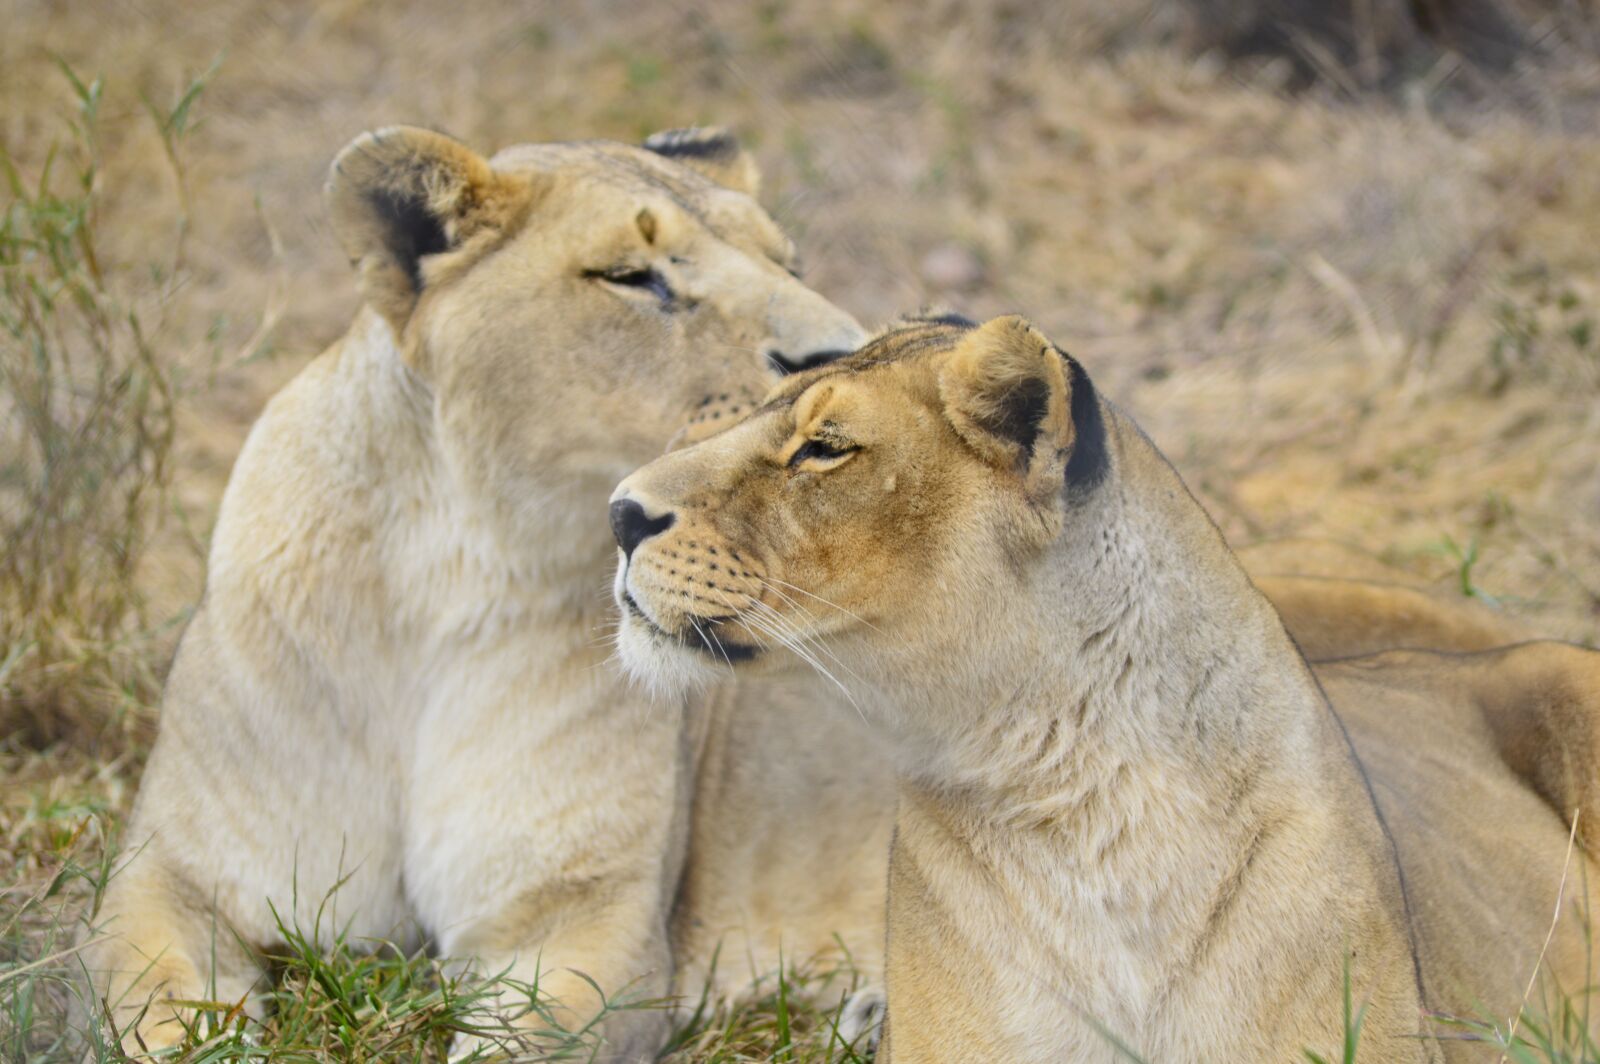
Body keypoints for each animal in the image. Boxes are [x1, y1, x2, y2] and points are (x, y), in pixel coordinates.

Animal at [80, 123, 876, 1060]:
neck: (452, 574)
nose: (845, 359)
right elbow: (168, 1018)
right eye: (630, 275)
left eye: (790, 263)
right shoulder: (168, 878)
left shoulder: (592, 921)